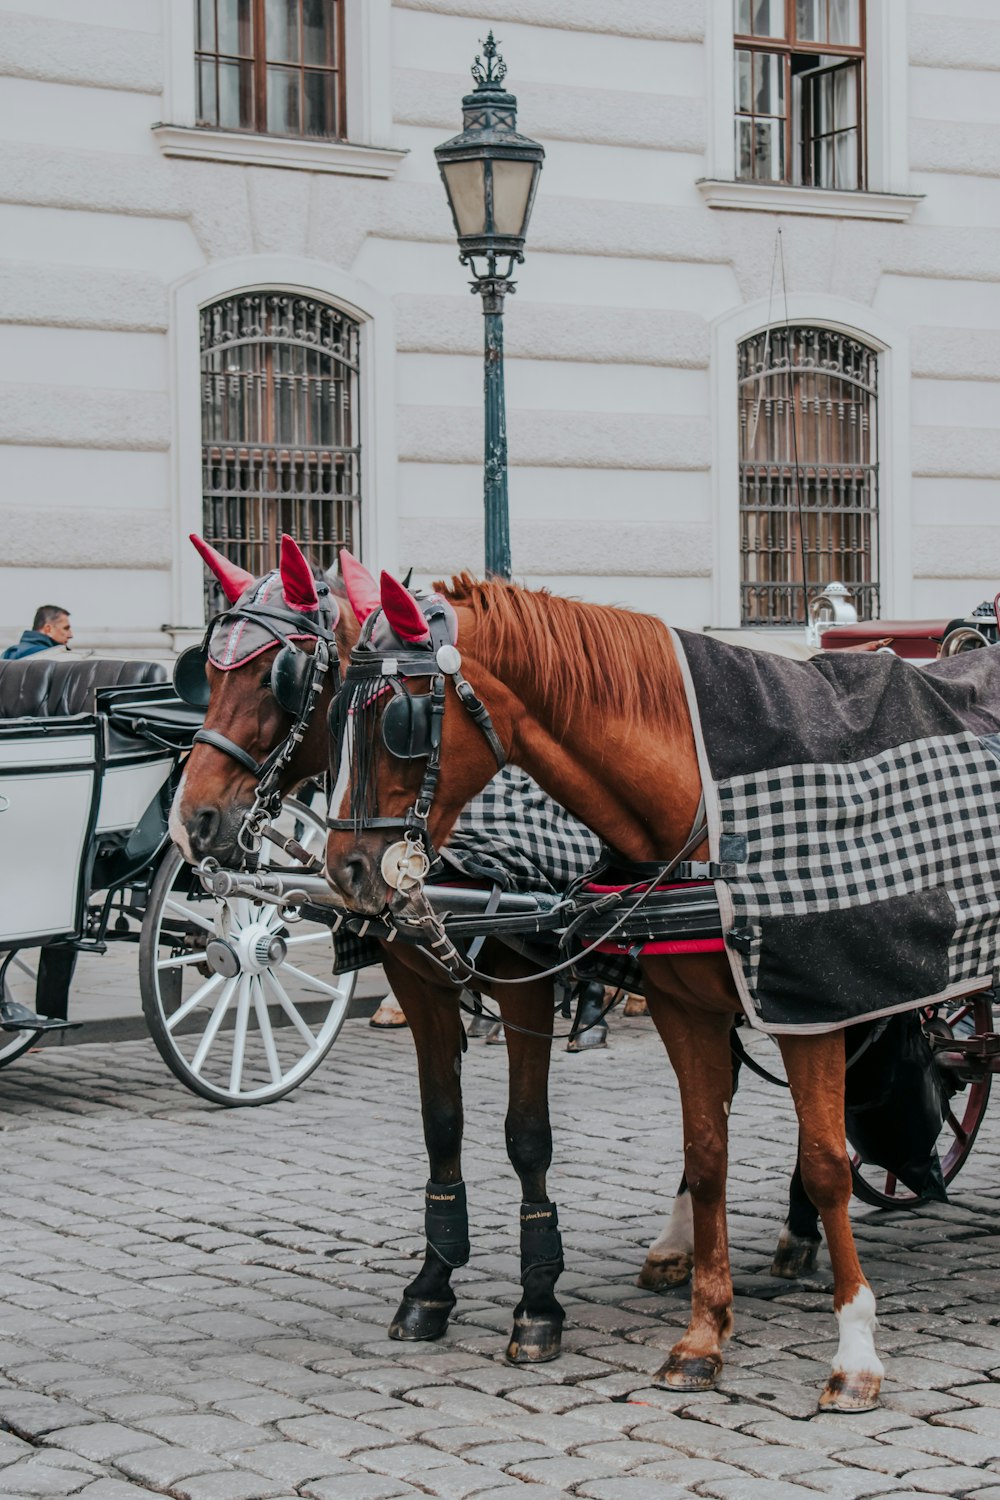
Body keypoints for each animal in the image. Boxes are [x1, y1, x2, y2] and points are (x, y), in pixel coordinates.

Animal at [328, 567, 881, 1410]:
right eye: (331, 713)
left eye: (400, 721)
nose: (346, 871)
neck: (708, 816)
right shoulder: (686, 1007)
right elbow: (706, 1151)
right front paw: (703, 1336)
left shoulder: (812, 1008)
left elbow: (826, 1163)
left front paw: (853, 1351)